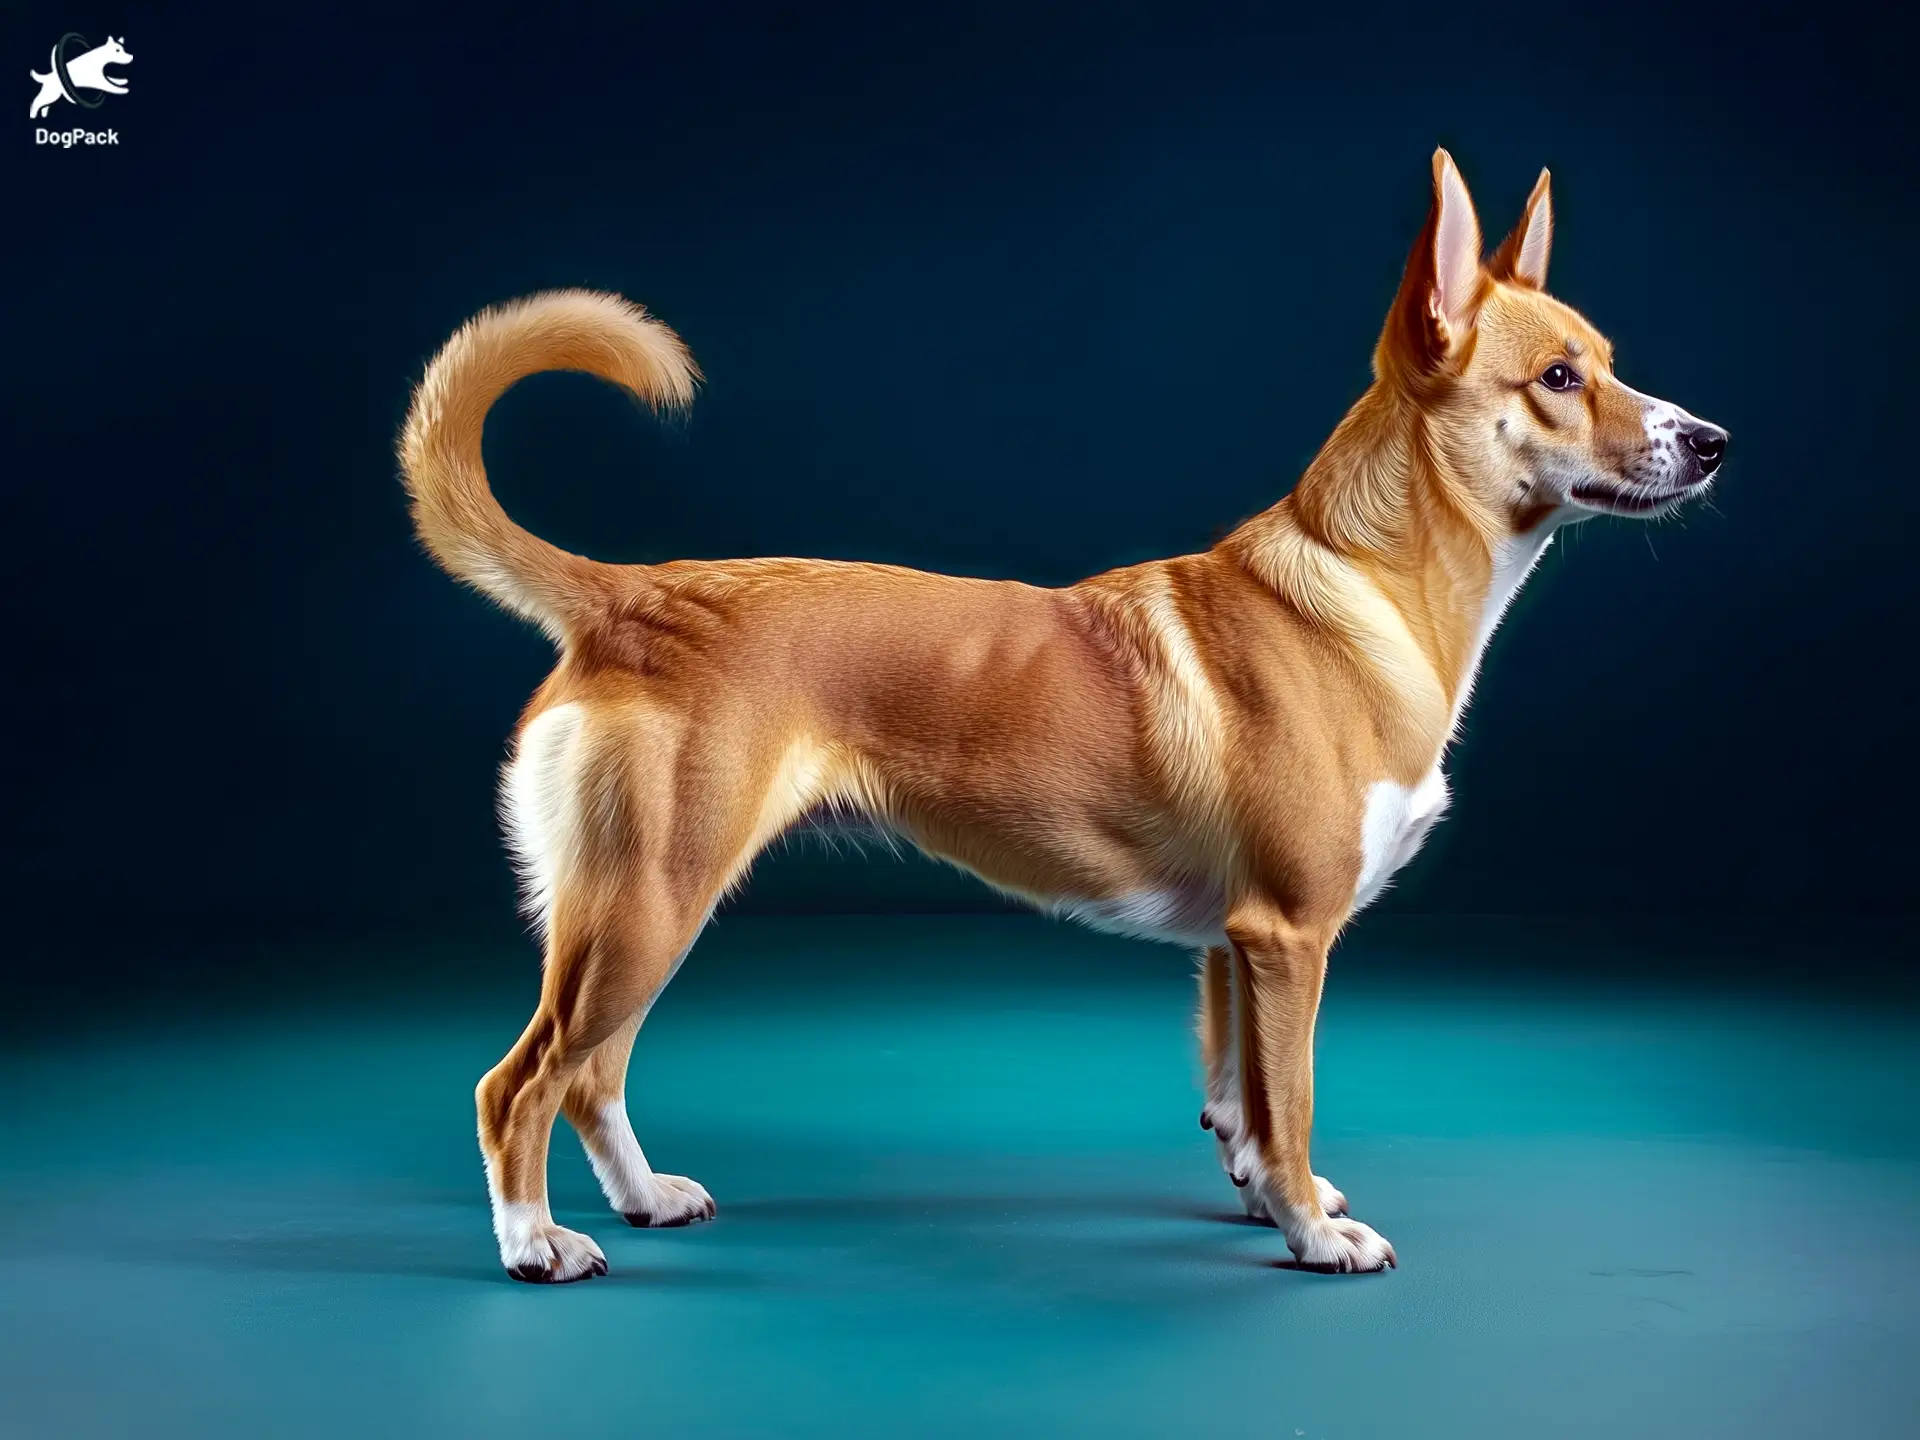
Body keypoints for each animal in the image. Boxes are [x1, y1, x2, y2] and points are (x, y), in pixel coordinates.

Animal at [401, 152, 1728, 1282]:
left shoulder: (1234, 948)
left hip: (645, 910)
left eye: (1607, 361)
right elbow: (1291, 1100)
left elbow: (1243, 1103)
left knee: (588, 1078)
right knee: (516, 1085)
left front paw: (1270, 1201)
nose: (1714, 440)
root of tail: (629, 594)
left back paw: (643, 1199)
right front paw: (1313, 1234)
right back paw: (534, 1244)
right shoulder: (1290, 937)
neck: (1366, 586)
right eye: (1558, 379)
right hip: (645, 905)